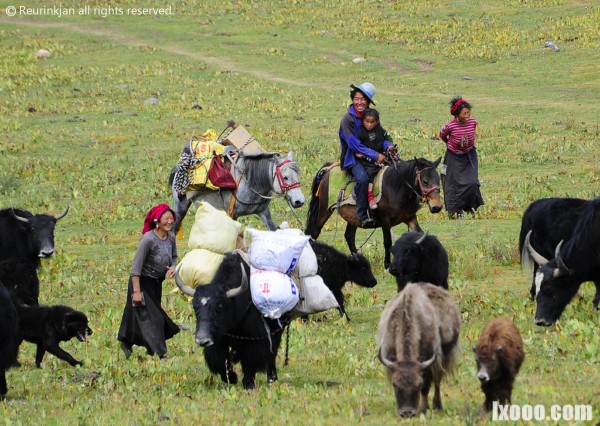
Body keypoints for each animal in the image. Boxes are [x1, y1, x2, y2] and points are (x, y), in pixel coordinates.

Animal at [308, 156, 442, 268]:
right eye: (425, 181)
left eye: (438, 179)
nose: (437, 207)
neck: (397, 188)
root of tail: (329, 169)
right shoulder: (385, 220)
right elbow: (387, 241)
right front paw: (387, 264)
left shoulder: (410, 218)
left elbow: (422, 236)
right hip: (324, 210)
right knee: (314, 232)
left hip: (354, 217)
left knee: (349, 236)